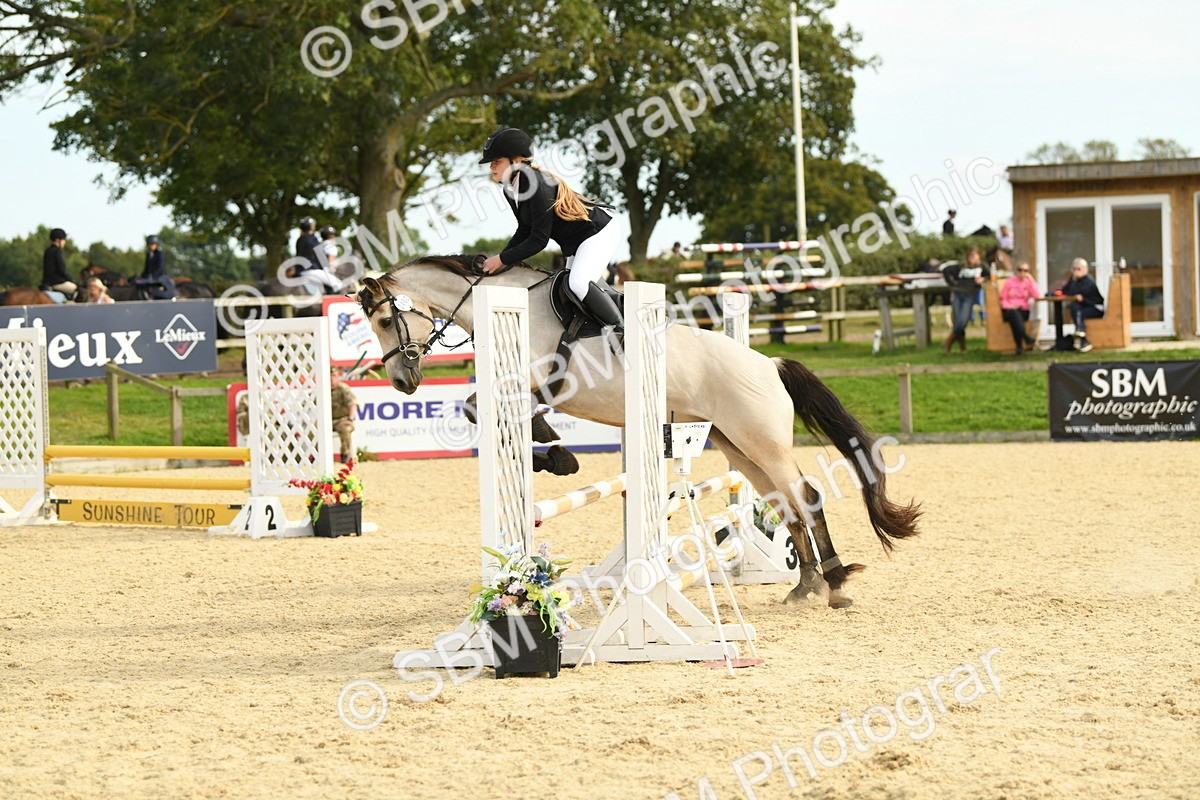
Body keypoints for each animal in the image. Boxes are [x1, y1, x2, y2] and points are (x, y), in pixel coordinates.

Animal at [356, 255, 922, 609]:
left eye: (383, 320)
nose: (402, 381)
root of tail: (769, 364)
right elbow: (481, 410)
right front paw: (555, 454)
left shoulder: (533, 379)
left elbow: (483, 408)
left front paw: (555, 454)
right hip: (738, 446)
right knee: (785, 503)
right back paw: (804, 586)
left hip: (761, 440)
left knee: (806, 495)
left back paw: (835, 584)